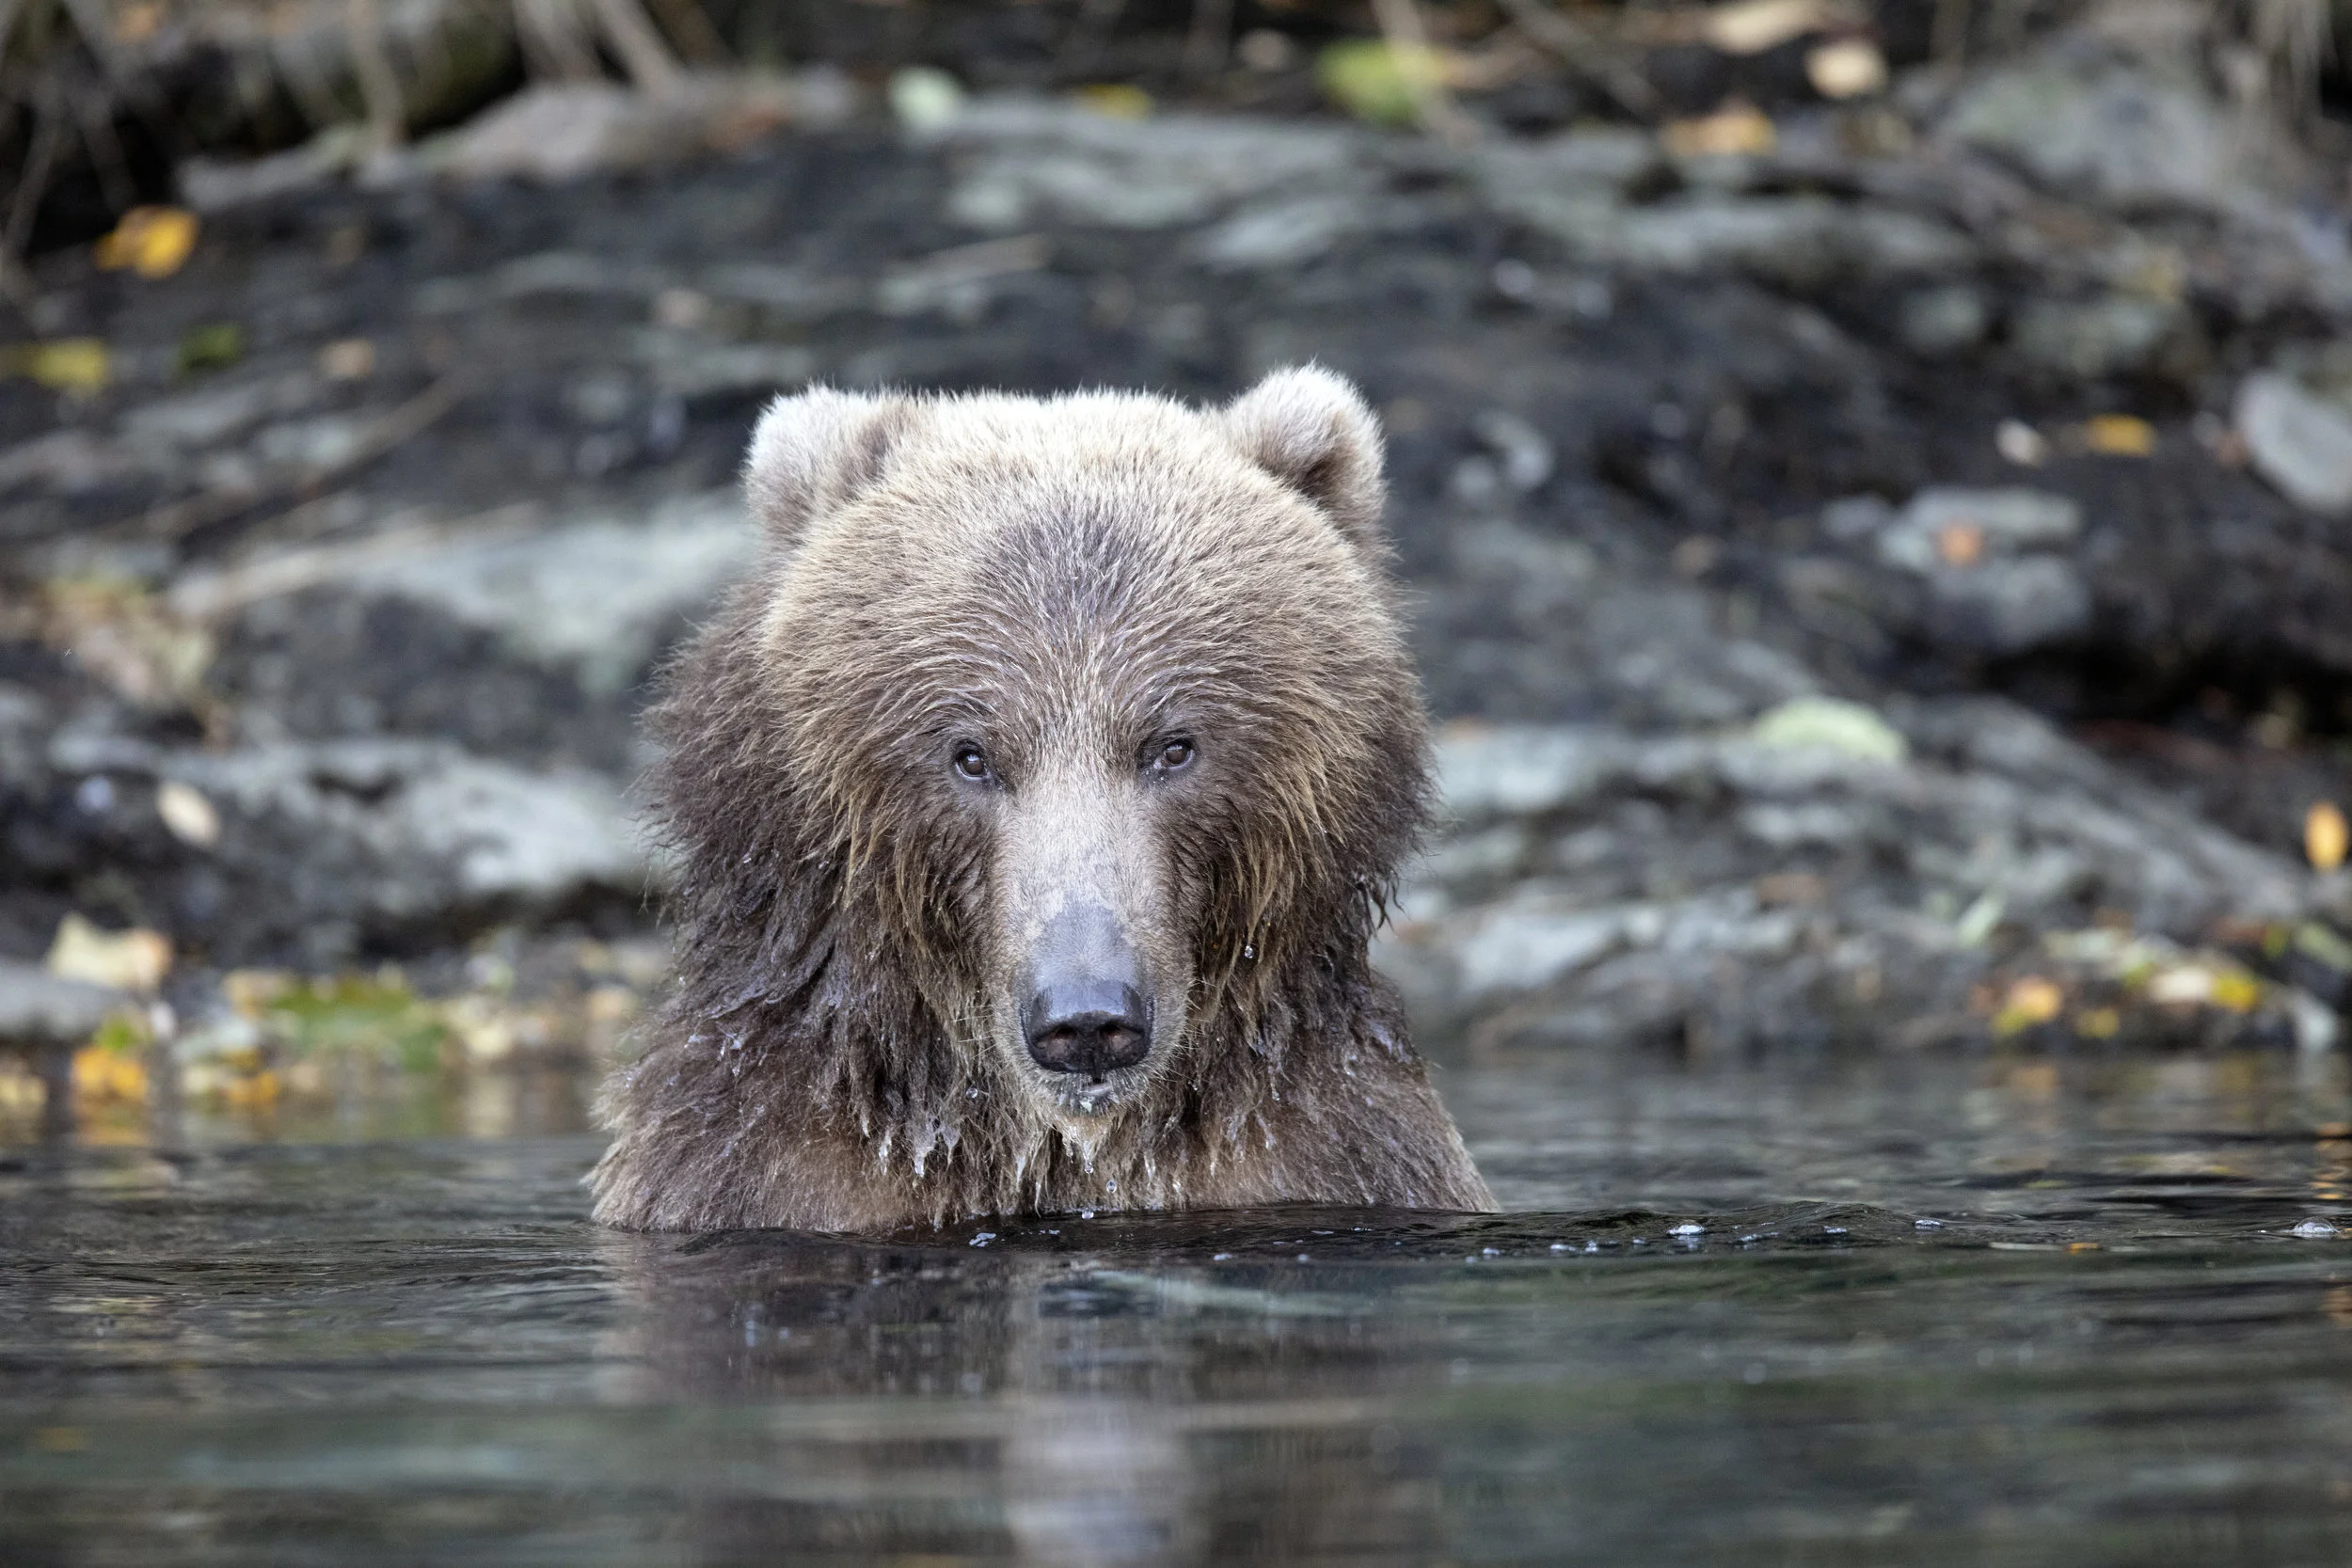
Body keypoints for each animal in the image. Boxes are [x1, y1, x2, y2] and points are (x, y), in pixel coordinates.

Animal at [590, 366, 1495, 1231]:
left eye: (1172, 745)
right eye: (970, 754)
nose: (1087, 1016)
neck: (1055, 1148)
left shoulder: (1330, 1152)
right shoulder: (765, 1166)